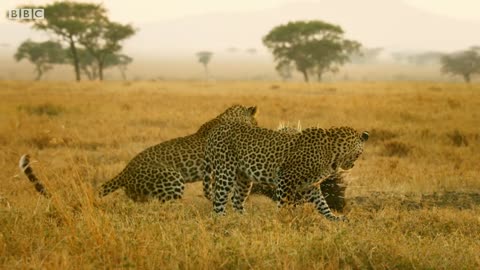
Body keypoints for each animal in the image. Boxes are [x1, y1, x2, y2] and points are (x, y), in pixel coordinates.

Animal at [202, 121, 368, 220]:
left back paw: (244, 220)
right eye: (359, 154)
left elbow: (322, 204)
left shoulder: (310, 186)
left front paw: (335, 218)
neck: (333, 154)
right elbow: (283, 202)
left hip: (243, 178)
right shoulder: (285, 178)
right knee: (219, 200)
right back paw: (221, 221)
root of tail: (214, 130)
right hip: (226, 171)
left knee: (236, 199)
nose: (352, 166)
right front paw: (281, 220)